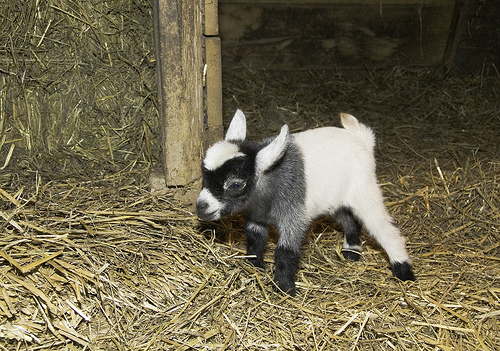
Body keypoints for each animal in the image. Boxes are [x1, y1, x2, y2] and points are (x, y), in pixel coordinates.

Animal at [195, 108, 414, 296]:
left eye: (235, 184)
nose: (201, 206)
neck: (271, 178)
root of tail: (362, 140)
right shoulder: (257, 216)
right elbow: (255, 238)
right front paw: (254, 265)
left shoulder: (294, 217)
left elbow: (285, 251)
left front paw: (284, 288)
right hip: (337, 199)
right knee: (351, 221)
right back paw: (351, 251)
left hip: (364, 190)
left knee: (383, 228)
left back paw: (403, 270)